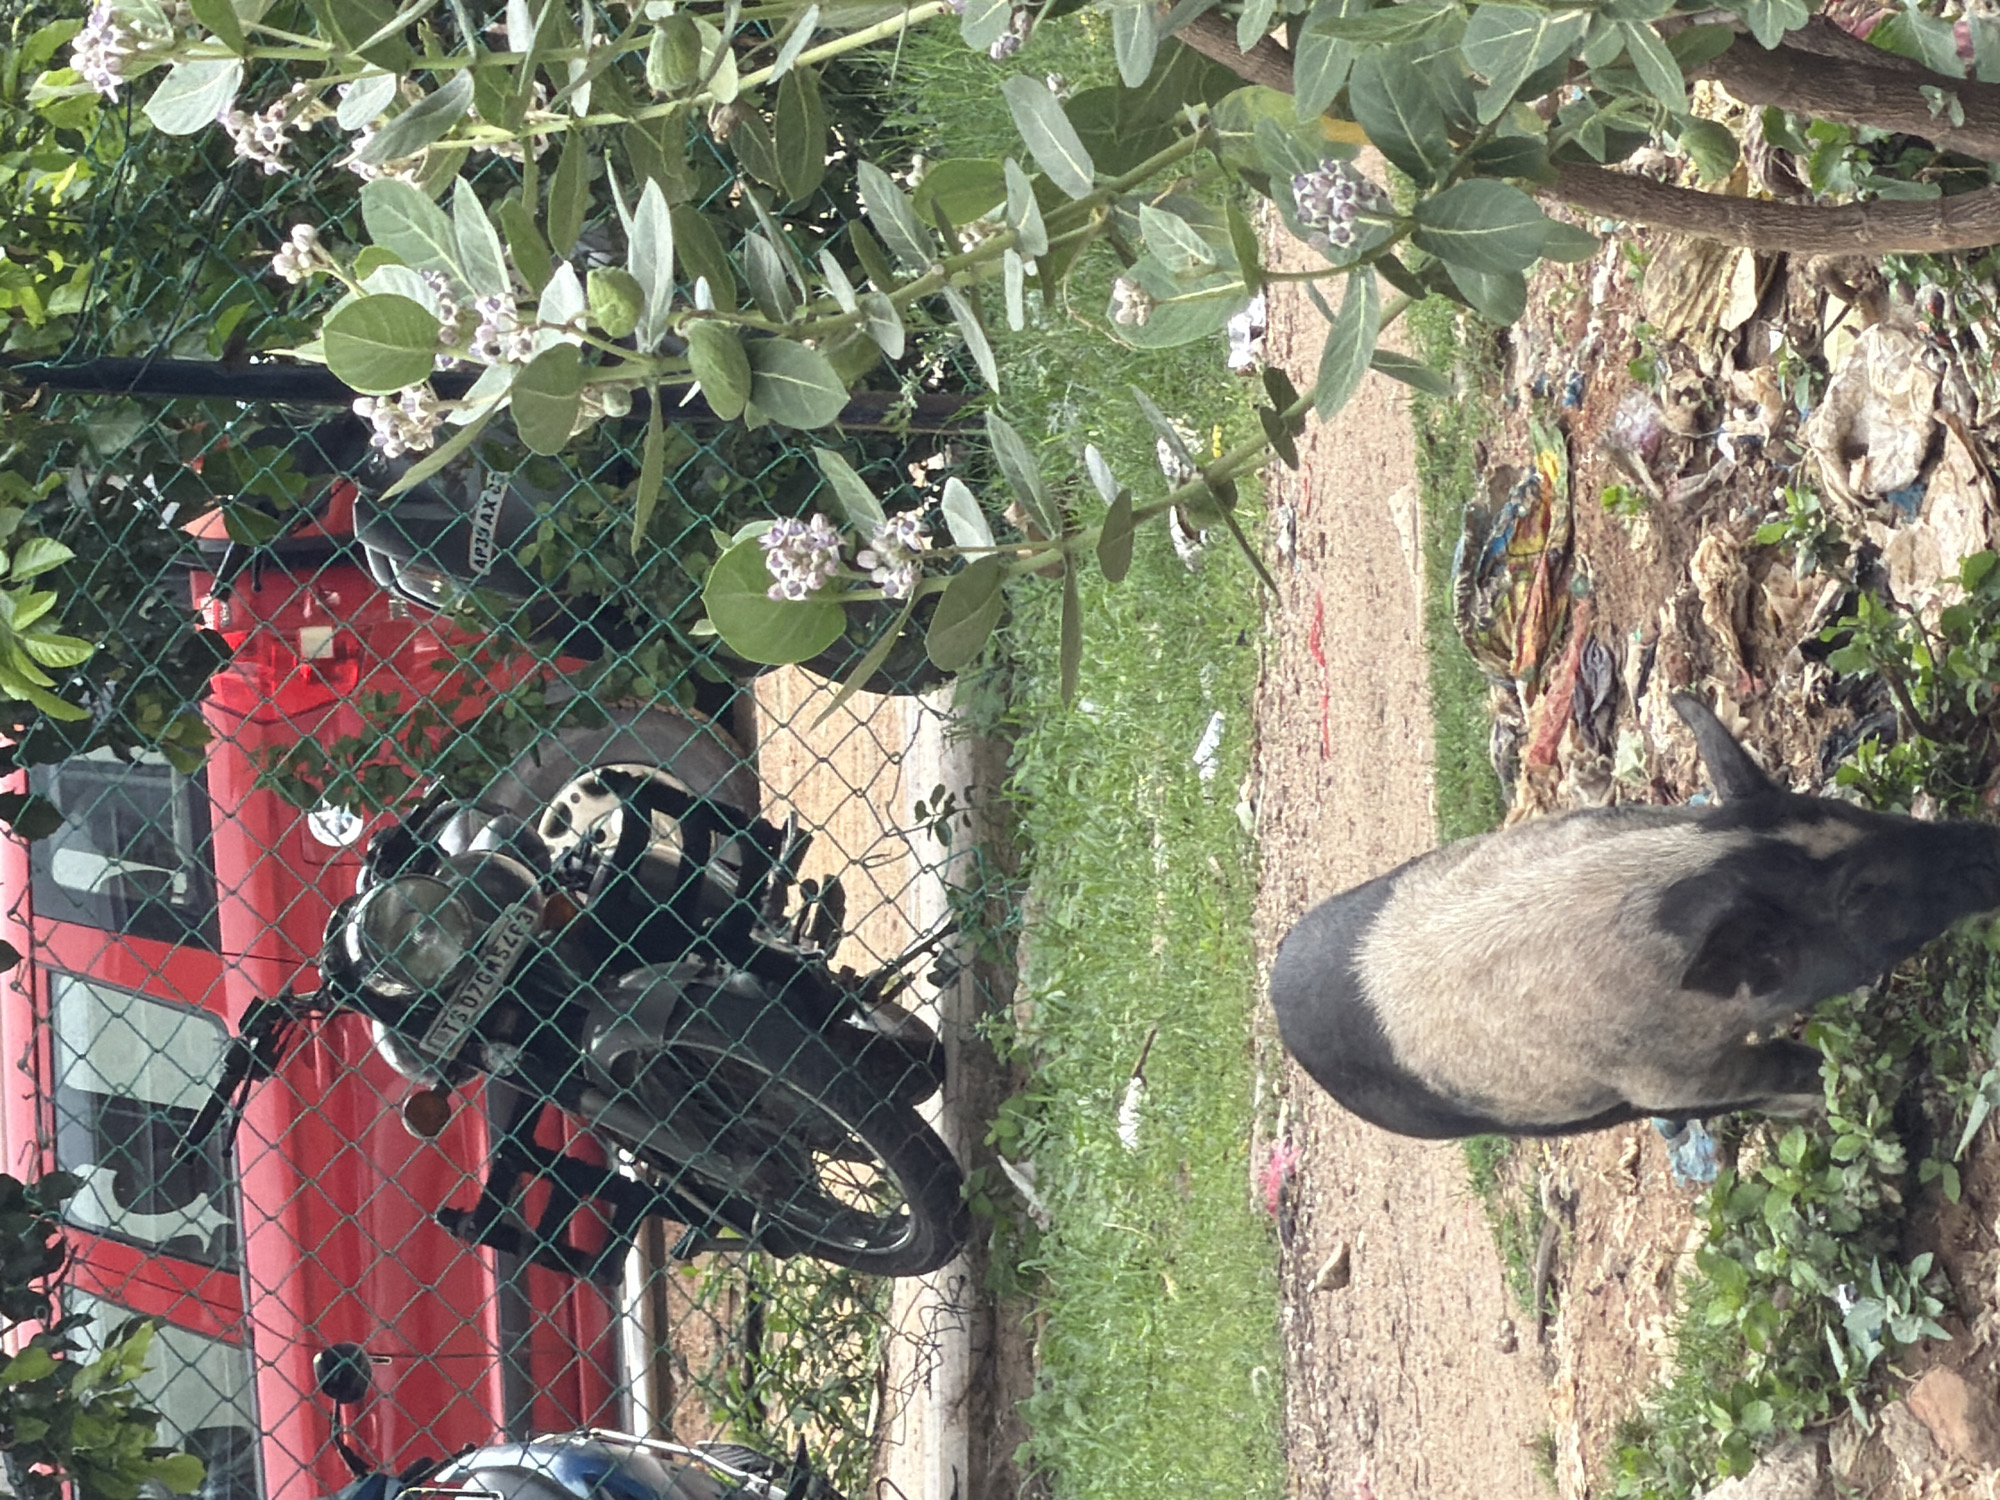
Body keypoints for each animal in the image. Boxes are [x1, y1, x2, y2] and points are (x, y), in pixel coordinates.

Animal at [1267, 694, 2000, 1139]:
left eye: (1840, 809)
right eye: (1858, 893)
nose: (1985, 844)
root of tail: (1277, 990)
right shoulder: (1664, 1078)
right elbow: (1780, 1070)